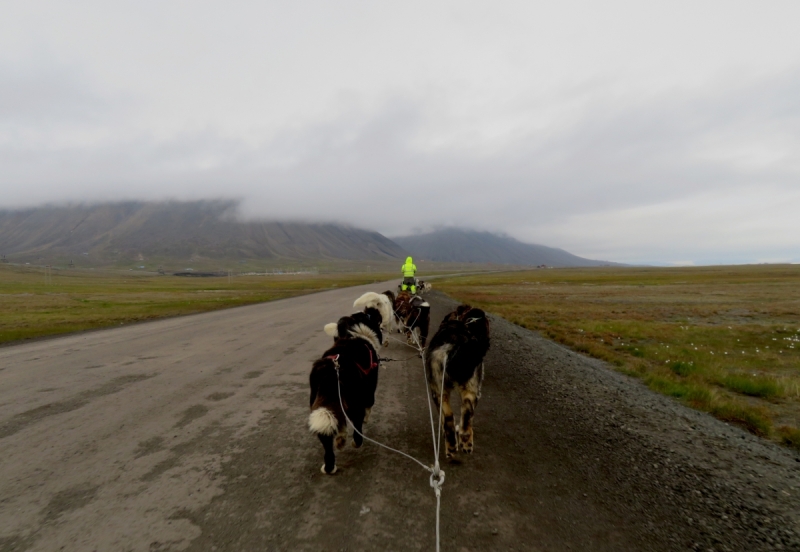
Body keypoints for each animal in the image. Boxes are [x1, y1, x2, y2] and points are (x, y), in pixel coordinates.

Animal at [308, 306, 382, 474]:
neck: (354, 334)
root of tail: (331, 371)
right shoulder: (369, 390)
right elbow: (369, 407)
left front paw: (341, 438)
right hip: (356, 400)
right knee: (357, 425)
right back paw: (356, 442)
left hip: (317, 403)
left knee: (326, 433)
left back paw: (329, 466)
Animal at [424, 304, 488, 460]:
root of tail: (452, 346)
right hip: (470, 391)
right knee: (465, 418)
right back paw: (464, 443)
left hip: (439, 392)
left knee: (448, 418)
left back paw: (452, 446)